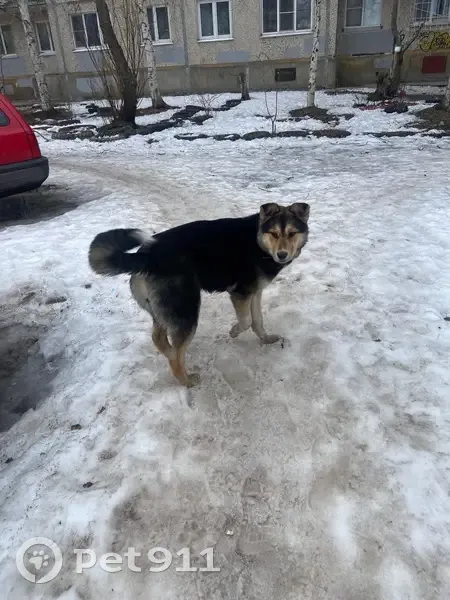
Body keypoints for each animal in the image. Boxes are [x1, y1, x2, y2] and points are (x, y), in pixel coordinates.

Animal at [88, 202, 310, 387]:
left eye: (292, 233)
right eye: (273, 233)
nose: (282, 255)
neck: (258, 241)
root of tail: (146, 256)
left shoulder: (255, 292)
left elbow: (257, 321)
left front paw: (266, 339)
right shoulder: (240, 293)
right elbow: (246, 321)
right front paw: (234, 331)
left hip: (164, 309)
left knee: (159, 339)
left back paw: (169, 354)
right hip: (186, 310)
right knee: (176, 355)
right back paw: (186, 380)